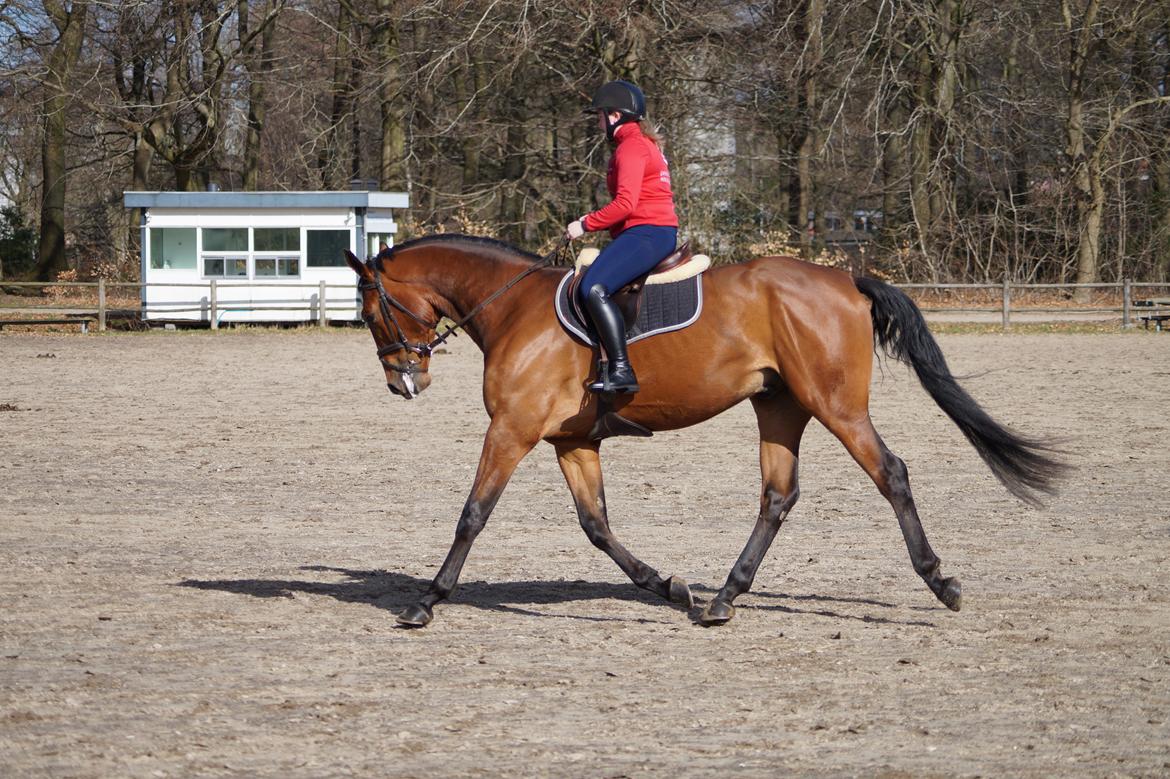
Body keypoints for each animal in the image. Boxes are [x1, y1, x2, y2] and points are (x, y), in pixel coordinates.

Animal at [341, 235, 1067, 626]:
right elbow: (597, 526)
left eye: (372, 312)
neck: (513, 306)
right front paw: (668, 585)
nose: (403, 381)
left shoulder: (512, 430)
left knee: (891, 474)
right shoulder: (573, 441)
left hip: (836, 406)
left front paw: (425, 602)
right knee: (777, 496)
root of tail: (845, 279)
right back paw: (722, 596)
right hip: (780, 406)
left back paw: (940, 581)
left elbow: (473, 514)